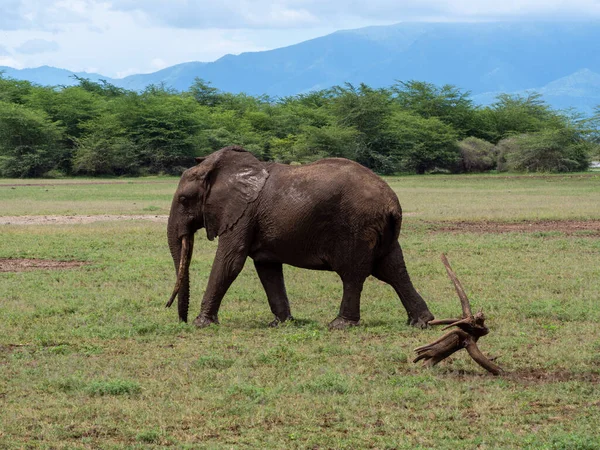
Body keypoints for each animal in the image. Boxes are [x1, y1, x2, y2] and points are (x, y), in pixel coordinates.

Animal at [166, 146, 434, 328]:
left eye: (184, 199)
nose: (181, 320)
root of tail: (393, 203)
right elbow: (267, 267)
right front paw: (281, 324)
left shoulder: (243, 213)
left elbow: (231, 261)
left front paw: (202, 323)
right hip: (380, 230)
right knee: (393, 269)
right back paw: (422, 322)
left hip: (358, 227)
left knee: (353, 274)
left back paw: (339, 325)